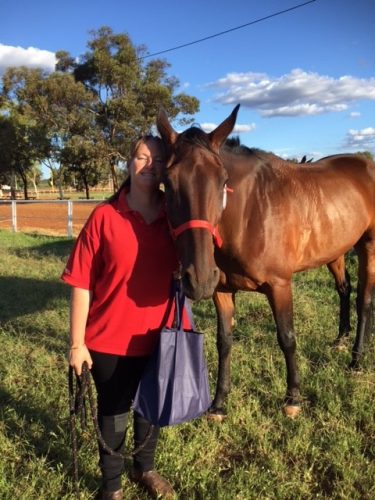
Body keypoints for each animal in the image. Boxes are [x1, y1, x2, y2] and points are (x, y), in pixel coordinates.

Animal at [156, 105, 375, 418]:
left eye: (223, 181)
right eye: (168, 183)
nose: (199, 279)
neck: (251, 212)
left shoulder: (279, 285)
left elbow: (287, 337)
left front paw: (293, 398)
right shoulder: (222, 290)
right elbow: (224, 341)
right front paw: (219, 403)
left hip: (367, 246)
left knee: (364, 301)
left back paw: (357, 360)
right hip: (336, 250)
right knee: (345, 290)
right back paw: (342, 340)